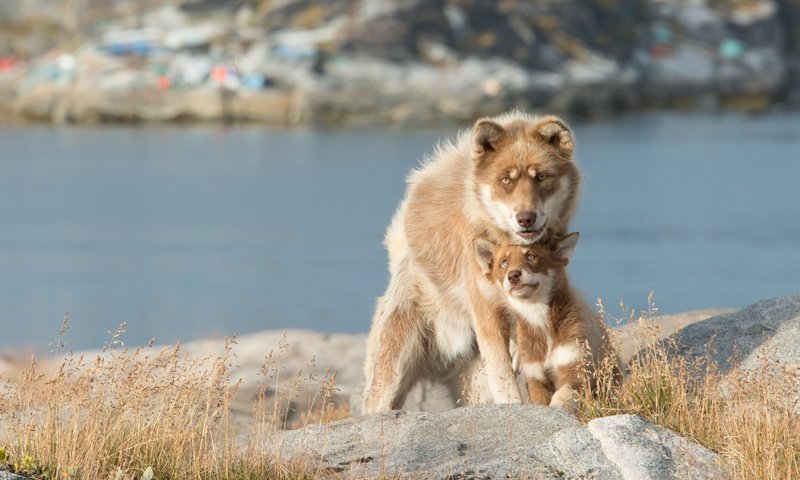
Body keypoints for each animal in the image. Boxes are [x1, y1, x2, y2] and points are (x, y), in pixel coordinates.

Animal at [362, 111, 580, 412]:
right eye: (506, 180)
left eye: (542, 177)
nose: (526, 218)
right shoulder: (486, 312)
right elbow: (505, 384)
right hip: (391, 378)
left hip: (473, 388)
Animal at [476, 234, 620, 410]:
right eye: (504, 263)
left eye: (531, 256)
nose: (513, 275)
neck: (539, 318)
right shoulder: (536, 378)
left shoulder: (575, 370)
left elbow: (561, 396)